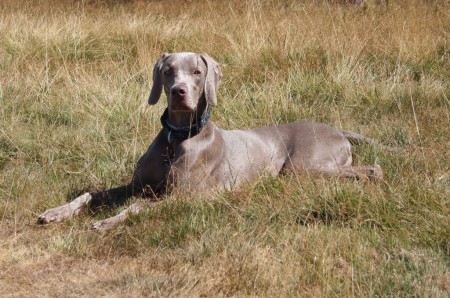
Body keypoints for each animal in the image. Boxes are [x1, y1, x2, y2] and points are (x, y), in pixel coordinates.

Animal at [37, 51, 384, 230]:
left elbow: (137, 207)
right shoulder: (137, 184)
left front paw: (108, 221)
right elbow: (91, 194)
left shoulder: (185, 197)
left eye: (196, 72)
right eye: (168, 70)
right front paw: (58, 211)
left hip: (300, 168)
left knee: (372, 169)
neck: (176, 139)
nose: (178, 92)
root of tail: (338, 130)